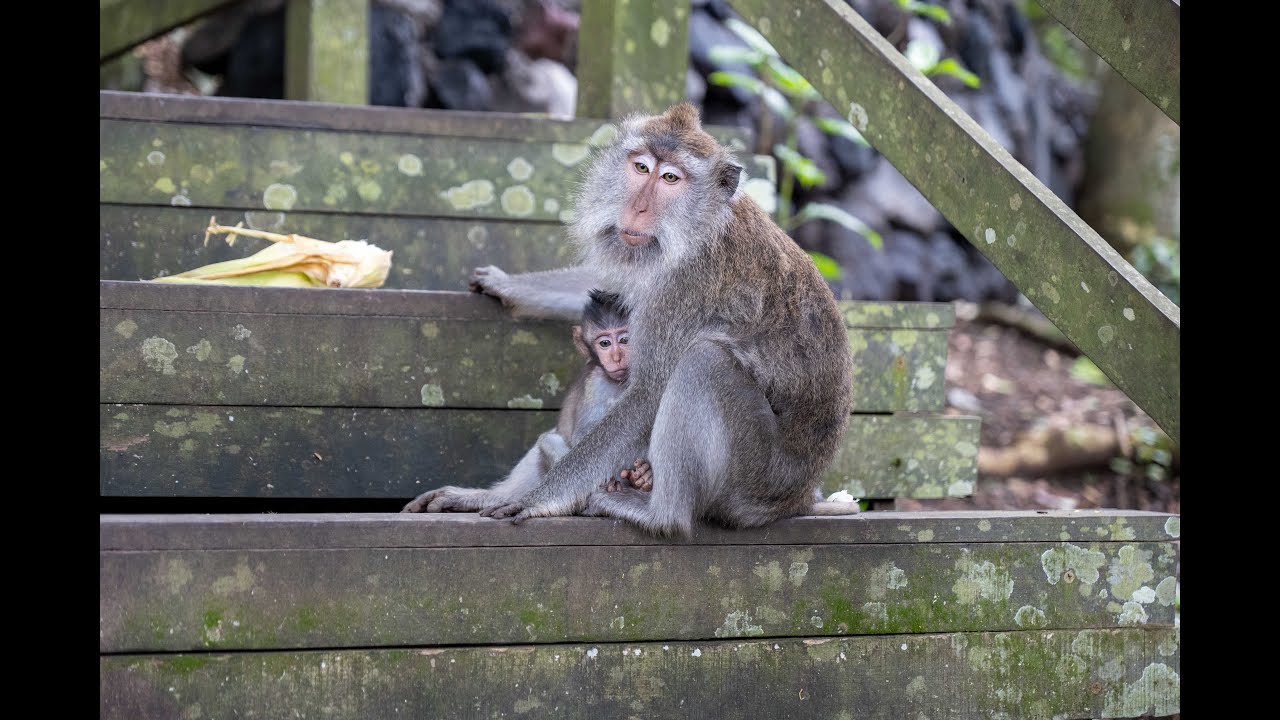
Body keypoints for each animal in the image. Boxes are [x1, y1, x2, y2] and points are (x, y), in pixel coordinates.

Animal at [404, 102, 859, 535]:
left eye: (671, 178)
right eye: (641, 167)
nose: (636, 209)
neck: (700, 228)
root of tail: (797, 499)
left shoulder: (684, 288)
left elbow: (646, 395)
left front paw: (538, 499)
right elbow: (611, 287)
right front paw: (508, 285)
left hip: (756, 477)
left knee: (704, 362)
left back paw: (659, 515)